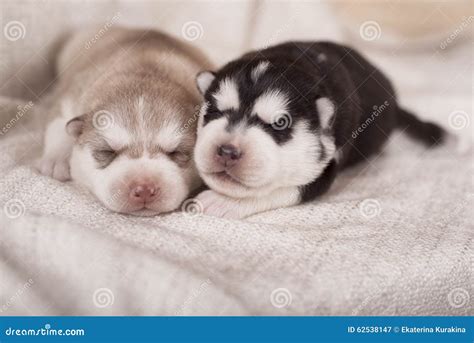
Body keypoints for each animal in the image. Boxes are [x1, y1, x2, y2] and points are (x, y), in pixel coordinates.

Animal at [39, 27, 213, 215]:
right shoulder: (71, 96)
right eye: (107, 151)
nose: (144, 189)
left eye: (176, 152)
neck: (144, 75)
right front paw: (56, 160)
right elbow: (59, 124)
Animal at [193, 41, 444, 219]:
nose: (227, 151)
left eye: (280, 123)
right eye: (214, 111)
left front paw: (222, 201)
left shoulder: (326, 167)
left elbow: (279, 190)